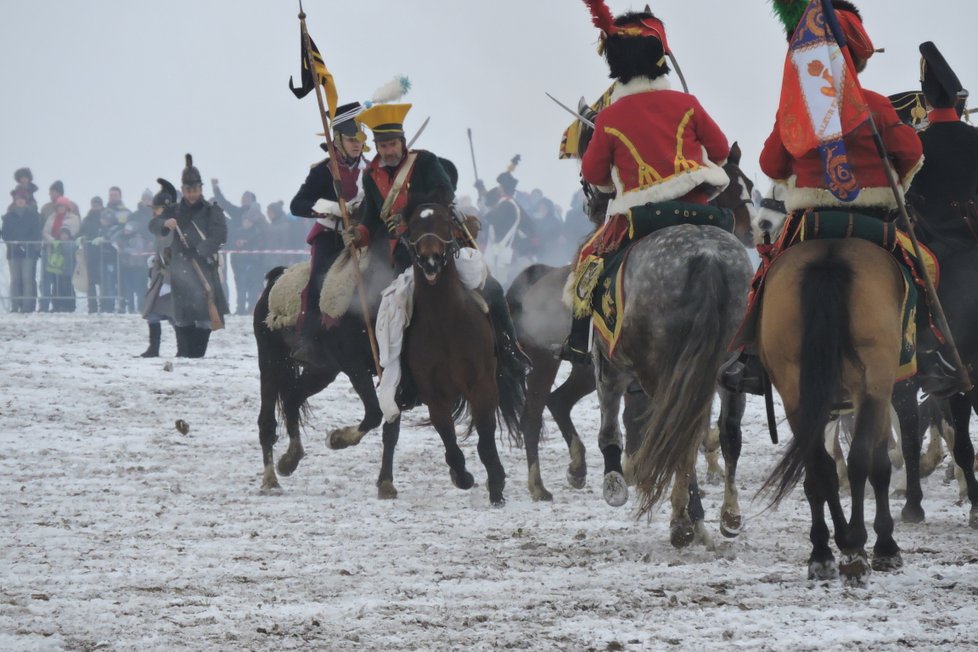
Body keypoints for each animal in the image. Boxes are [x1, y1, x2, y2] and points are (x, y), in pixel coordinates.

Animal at [252, 232, 396, 492]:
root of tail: (276, 279)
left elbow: (390, 423)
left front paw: (386, 483)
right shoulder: (355, 367)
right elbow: (373, 412)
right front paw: (337, 439)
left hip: (322, 371)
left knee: (292, 399)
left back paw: (290, 459)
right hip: (271, 360)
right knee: (267, 420)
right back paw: (270, 478)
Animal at [376, 201, 528, 506]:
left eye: (445, 223)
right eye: (413, 227)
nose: (431, 260)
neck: (444, 321)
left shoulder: (482, 384)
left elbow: (485, 438)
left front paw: (496, 483)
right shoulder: (433, 393)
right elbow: (448, 438)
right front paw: (462, 475)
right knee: (391, 429)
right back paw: (386, 481)